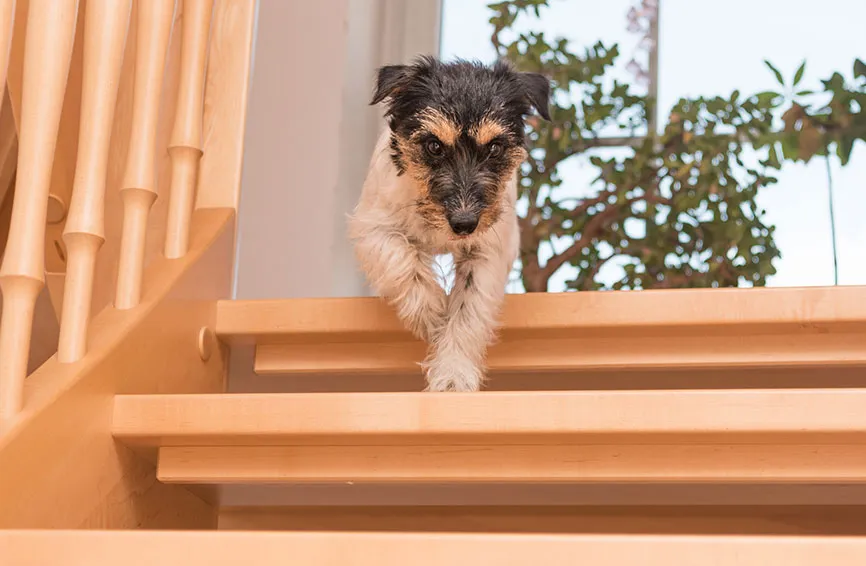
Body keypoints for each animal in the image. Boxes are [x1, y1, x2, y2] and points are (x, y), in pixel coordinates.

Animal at [348, 56, 552, 394]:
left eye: (494, 148)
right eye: (433, 146)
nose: (464, 223)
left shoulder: (487, 251)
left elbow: (468, 310)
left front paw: (453, 375)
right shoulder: (374, 226)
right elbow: (402, 259)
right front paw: (431, 313)